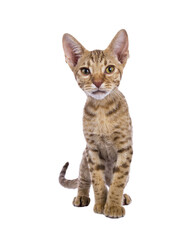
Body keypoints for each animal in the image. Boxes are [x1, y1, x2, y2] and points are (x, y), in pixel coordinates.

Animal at [58, 29, 132, 218]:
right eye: (85, 71)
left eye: (110, 69)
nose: (97, 82)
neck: (102, 110)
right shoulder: (92, 149)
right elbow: (97, 181)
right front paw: (100, 203)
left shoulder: (125, 147)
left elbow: (118, 181)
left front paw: (112, 205)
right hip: (84, 158)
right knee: (84, 179)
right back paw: (82, 196)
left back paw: (122, 197)